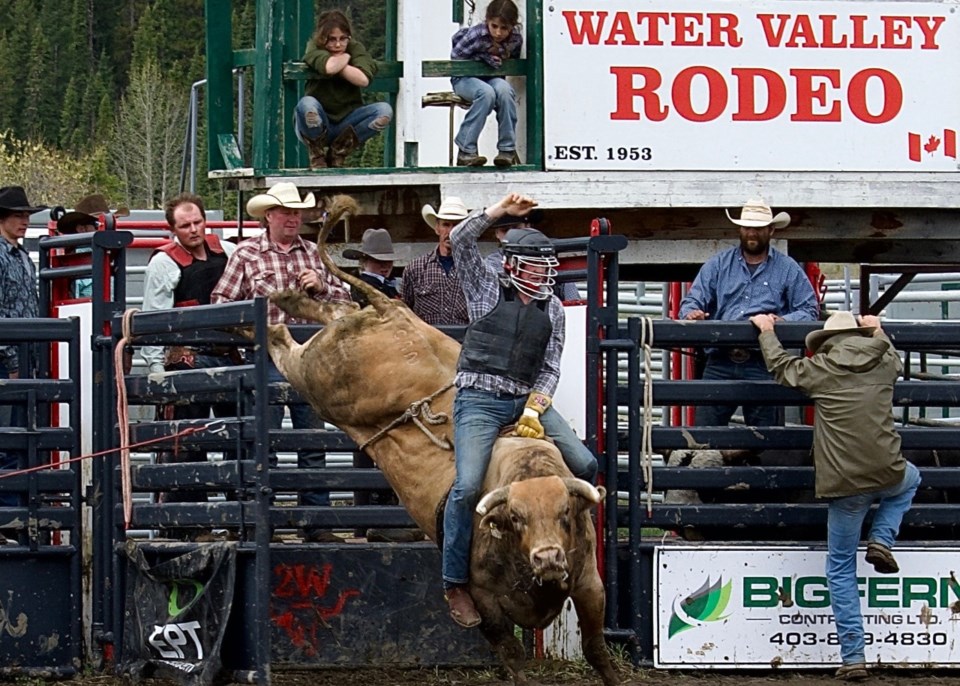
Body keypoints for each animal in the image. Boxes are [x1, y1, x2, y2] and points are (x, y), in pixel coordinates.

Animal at [266, 196, 620, 684]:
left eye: (565, 512)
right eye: (517, 518)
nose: (548, 558)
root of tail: (387, 309)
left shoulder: (588, 583)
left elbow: (596, 648)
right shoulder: (485, 601)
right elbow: (511, 652)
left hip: (338, 340)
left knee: (329, 307)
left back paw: (290, 295)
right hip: (316, 378)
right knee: (283, 345)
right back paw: (267, 315)